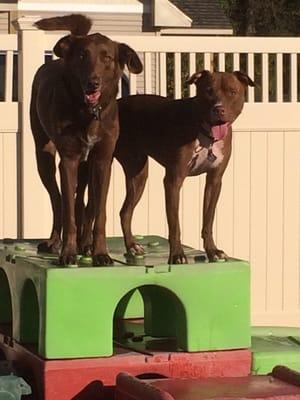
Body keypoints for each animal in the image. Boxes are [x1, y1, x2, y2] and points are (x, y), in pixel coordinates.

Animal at [29, 14, 142, 266]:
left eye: (107, 58)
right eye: (83, 56)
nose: (93, 82)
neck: (89, 112)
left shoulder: (102, 161)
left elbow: (98, 211)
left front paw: (100, 252)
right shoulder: (69, 160)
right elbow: (68, 210)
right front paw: (68, 253)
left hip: (87, 167)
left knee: (85, 202)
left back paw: (86, 243)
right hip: (44, 155)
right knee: (58, 199)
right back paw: (55, 241)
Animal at [116, 70, 254, 264]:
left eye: (232, 92)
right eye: (208, 91)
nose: (218, 109)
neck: (206, 135)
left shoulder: (214, 181)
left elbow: (208, 219)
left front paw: (212, 251)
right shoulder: (173, 180)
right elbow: (174, 224)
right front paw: (177, 254)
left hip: (138, 174)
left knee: (125, 212)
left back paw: (131, 246)